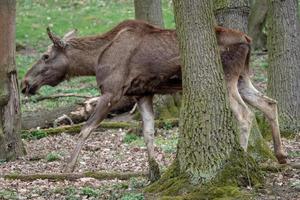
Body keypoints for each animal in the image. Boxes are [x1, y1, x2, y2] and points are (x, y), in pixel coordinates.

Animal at [22, 19, 288, 181]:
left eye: (45, 56)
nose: (25, 82)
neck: (94, 60)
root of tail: (248, 40)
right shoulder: (142, 93)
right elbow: (148, 131)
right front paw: (154, 171)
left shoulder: (112, 92)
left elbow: (86, 129)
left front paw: (68, 167)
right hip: (242, 77)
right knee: (269, 103)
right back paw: (281, 155)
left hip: (227, 78)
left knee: (245, 114)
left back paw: (242, 159)